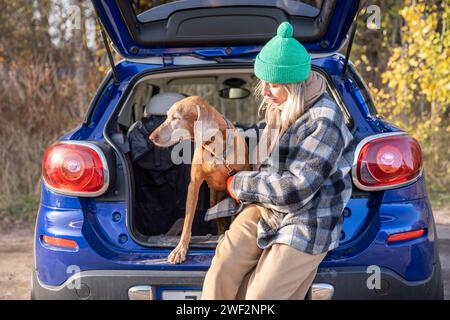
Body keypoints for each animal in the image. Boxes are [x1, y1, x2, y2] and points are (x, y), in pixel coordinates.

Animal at [149, 96, 251, 264]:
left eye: (175, 118)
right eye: (167, 116)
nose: (151, 137)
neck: (215, 149)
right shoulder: (194, 185)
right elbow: (187, 220)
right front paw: (180, 249)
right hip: (213, 199)